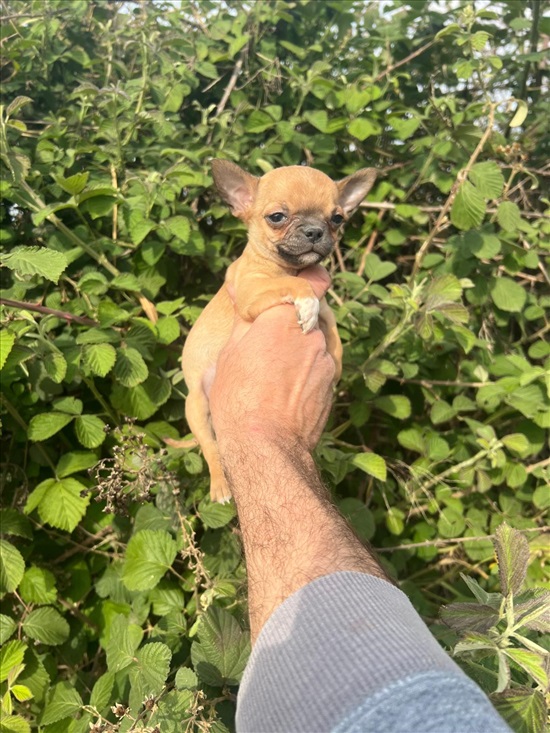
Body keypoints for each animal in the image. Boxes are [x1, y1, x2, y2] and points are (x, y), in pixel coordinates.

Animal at [175, 162, 378, 504]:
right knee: (211, 448)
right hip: (197, 407)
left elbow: (332, 327)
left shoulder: (326, 309)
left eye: (337, 218)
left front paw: (336, 363)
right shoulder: (252, 292)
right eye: (277, 217)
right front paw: (304, 300)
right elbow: (295, 286)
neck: (290, 267)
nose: (314, 231)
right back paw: (221, 487)